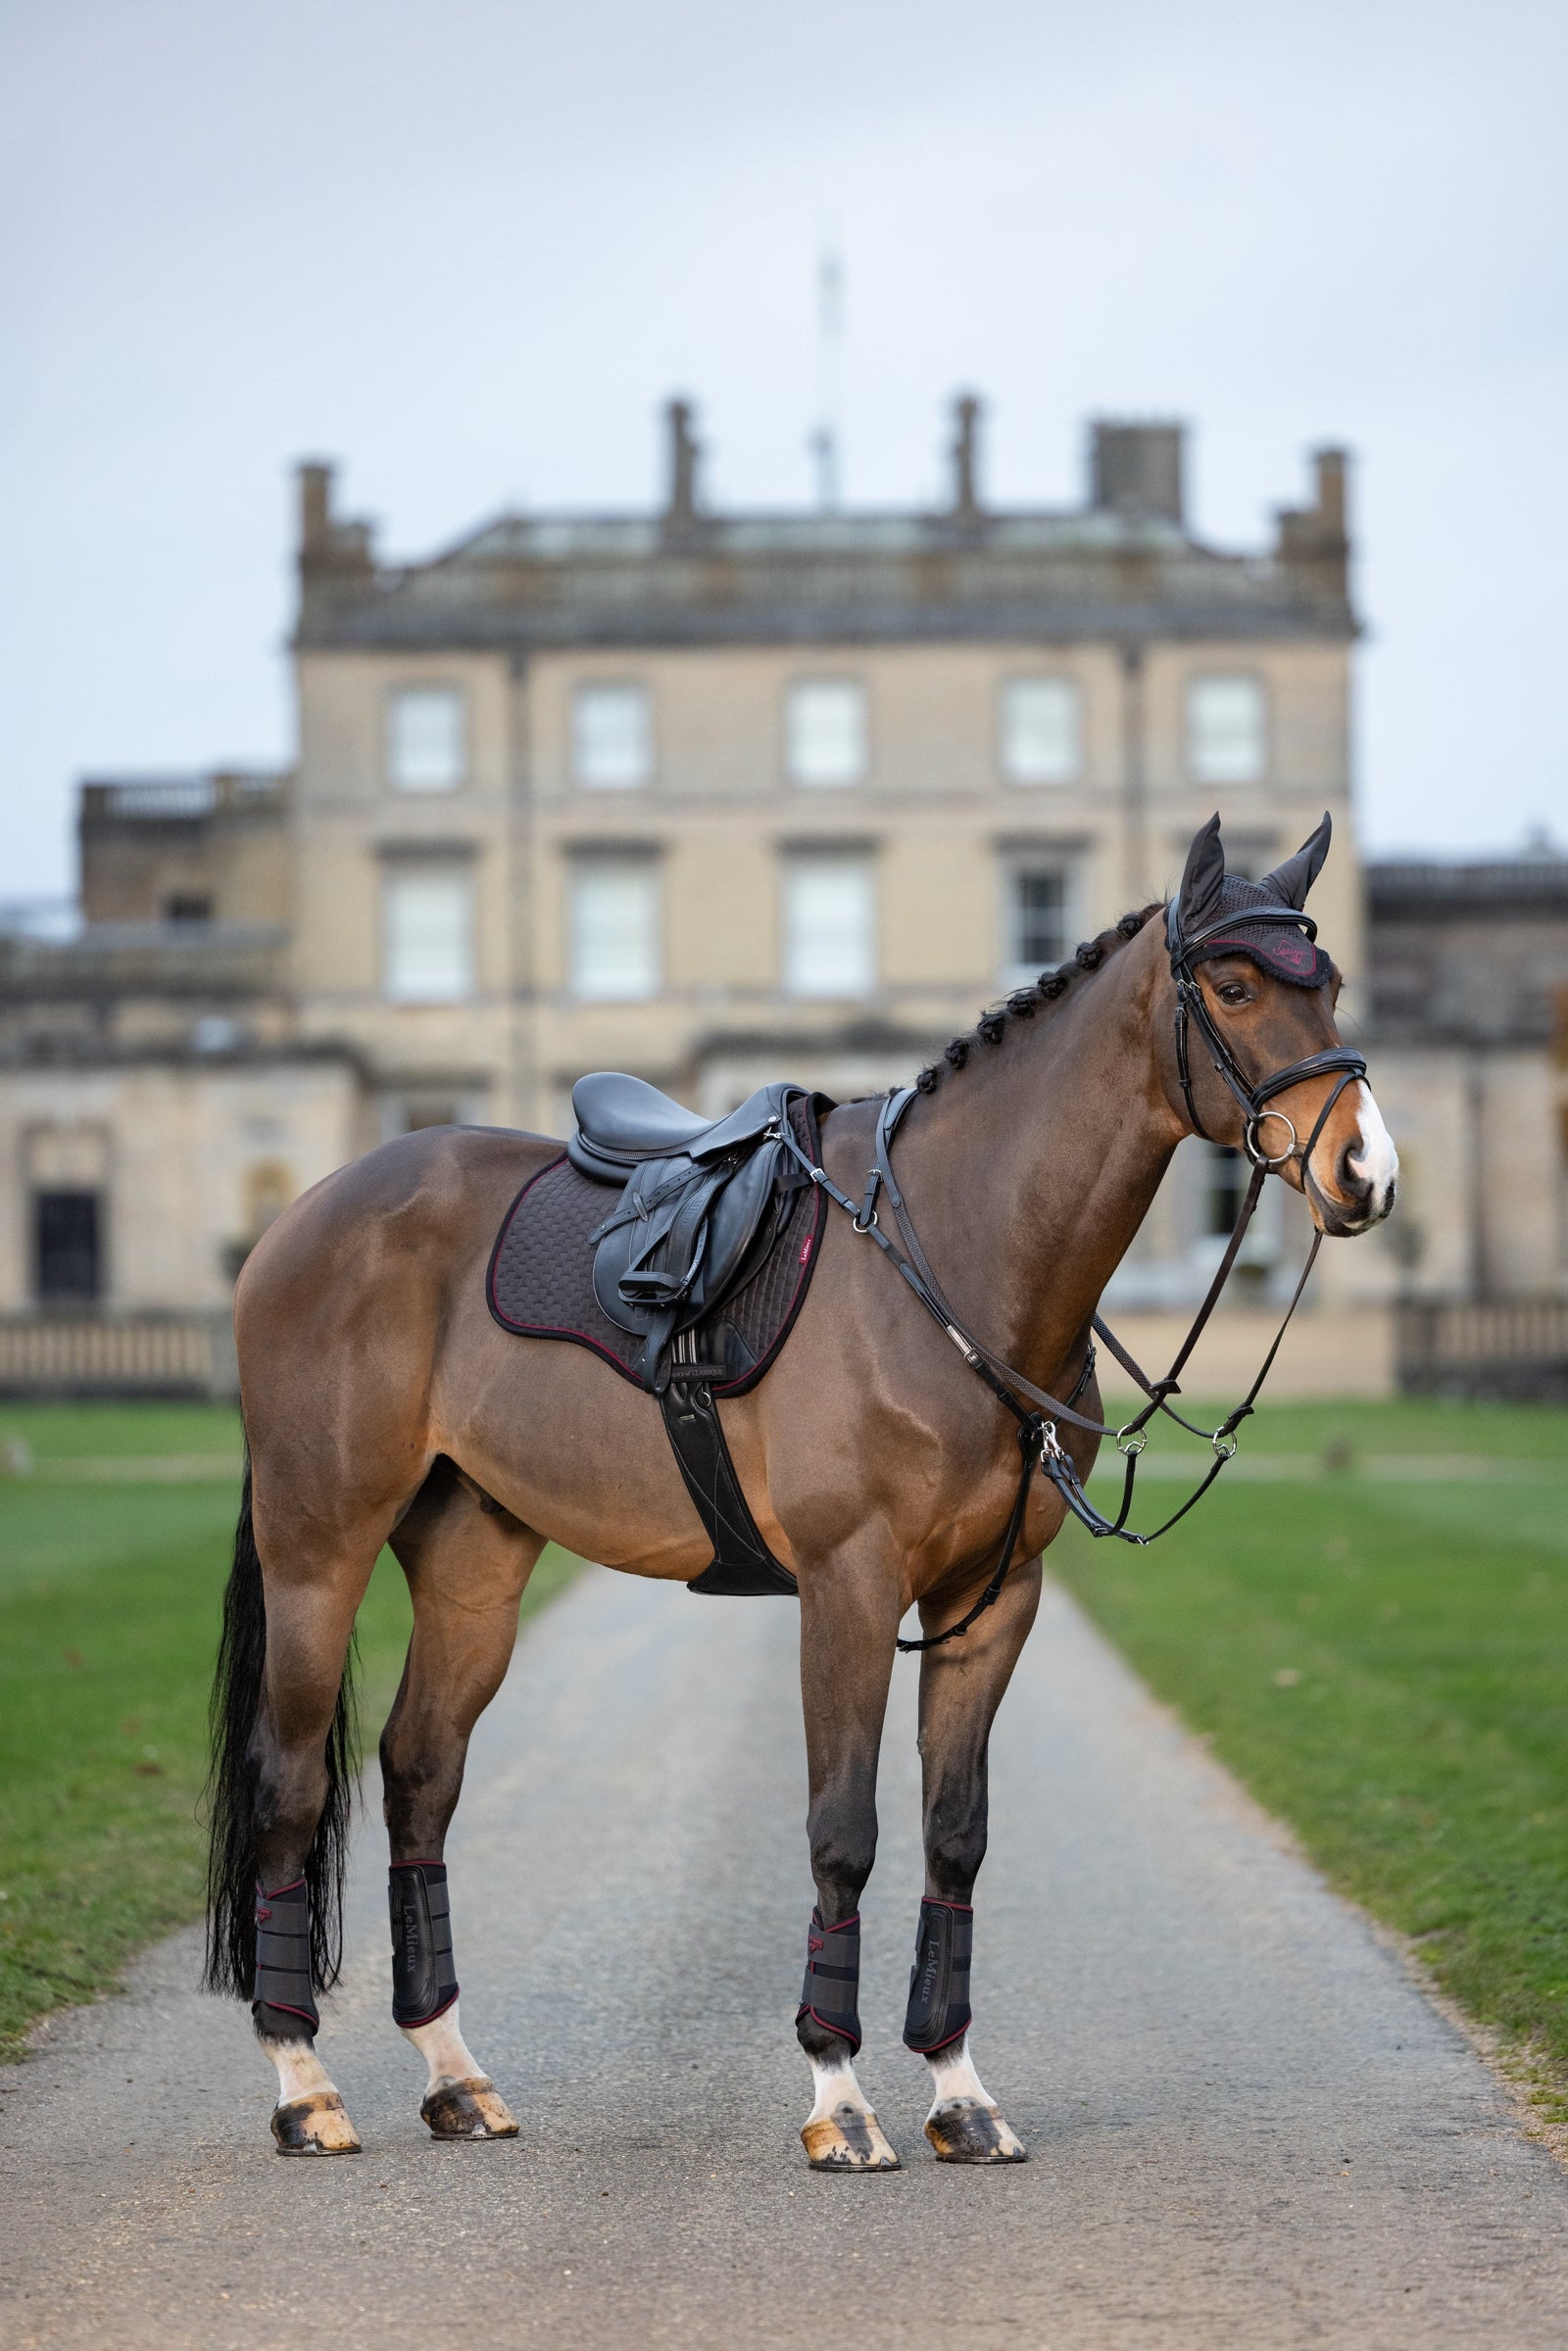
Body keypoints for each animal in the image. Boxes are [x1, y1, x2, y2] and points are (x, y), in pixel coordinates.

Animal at [205, 812, 1397, 2167]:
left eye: (1331, 981)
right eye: (1237, 987)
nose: (1365, 1169)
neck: (954, 1259)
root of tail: (305, 1214)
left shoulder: (992, 1601)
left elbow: (953, 1834)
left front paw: (958, 2089)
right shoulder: (847, 1585)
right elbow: (845, 1830)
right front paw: (838, 2092)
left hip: (472, 1564)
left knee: (417, 1775)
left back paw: (452, 2071)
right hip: (318, 1550)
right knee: (290, 1783)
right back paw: (303, 2080)